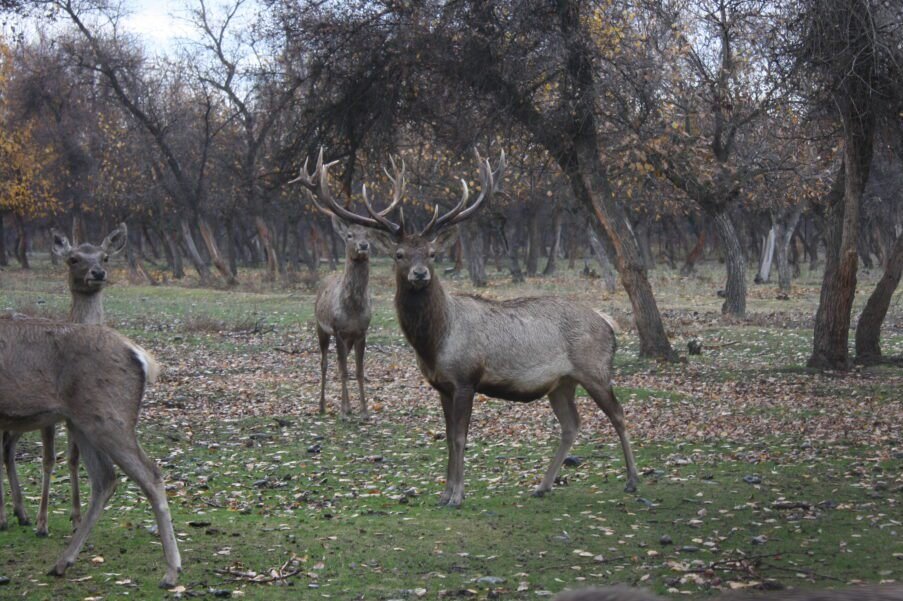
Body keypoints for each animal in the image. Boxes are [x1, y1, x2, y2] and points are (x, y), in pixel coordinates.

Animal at [0, 224, 128, 536]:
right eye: (73, 259)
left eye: (106, 257)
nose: (98, 273)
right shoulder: (49, 415)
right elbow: (48, 460)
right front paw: (43, 523)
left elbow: (72, 459)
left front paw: (76, 518)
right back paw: (7, 518)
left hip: (19, 416)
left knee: (7, 448)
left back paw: (20, 512)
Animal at [0, 318, 184, 584]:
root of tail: (141, 356)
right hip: (79, 422)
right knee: (105, 478)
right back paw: (62, 562)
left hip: (108, 417)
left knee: (150, 475)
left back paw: (171, 571)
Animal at [292, 155, 404, 418]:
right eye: (350, 235)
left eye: (368, 235)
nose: (364, 246)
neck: (352, 310)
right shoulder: (339, 330)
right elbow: (343, 371)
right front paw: (345, 410)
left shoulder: (361, 332)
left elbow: (359, 371)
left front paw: (364, 410)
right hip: (320, 328)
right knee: (324, 364)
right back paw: (322, 406)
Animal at [308, 148, 640, 504]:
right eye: (399, 254)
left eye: (432, 253)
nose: (420, 274)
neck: (435, 343)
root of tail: (608, 323)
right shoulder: (441, 385)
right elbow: (448, 437)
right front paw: (445, 493)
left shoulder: (466, 378)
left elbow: (459, 438)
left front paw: (457, 495)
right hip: (561, 382)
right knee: (571, 424)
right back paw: (542, 485)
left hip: (595, 370)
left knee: (618, 413)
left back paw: (632, 480)